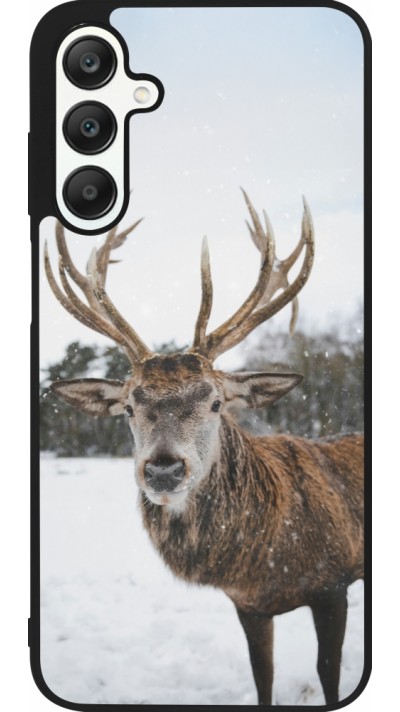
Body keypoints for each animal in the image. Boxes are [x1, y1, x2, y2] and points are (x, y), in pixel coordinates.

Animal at [44, 190, 364, 706]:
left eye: (215, 402)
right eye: (129, 407)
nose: (163, 470)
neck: (265, 560)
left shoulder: (333, 582)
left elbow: (328, 674)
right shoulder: (248, 605)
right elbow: (262, 675)